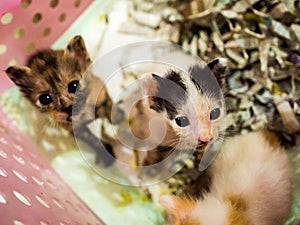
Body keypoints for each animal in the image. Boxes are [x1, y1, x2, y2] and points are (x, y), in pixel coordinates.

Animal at [4, 34, 122, 165]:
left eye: (74, 85)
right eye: (45, 99)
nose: (67, 108)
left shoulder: (101, 92)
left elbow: (109, 107)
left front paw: (118, 117)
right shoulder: (74, 129)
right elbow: (92, 140)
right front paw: (105, 155)